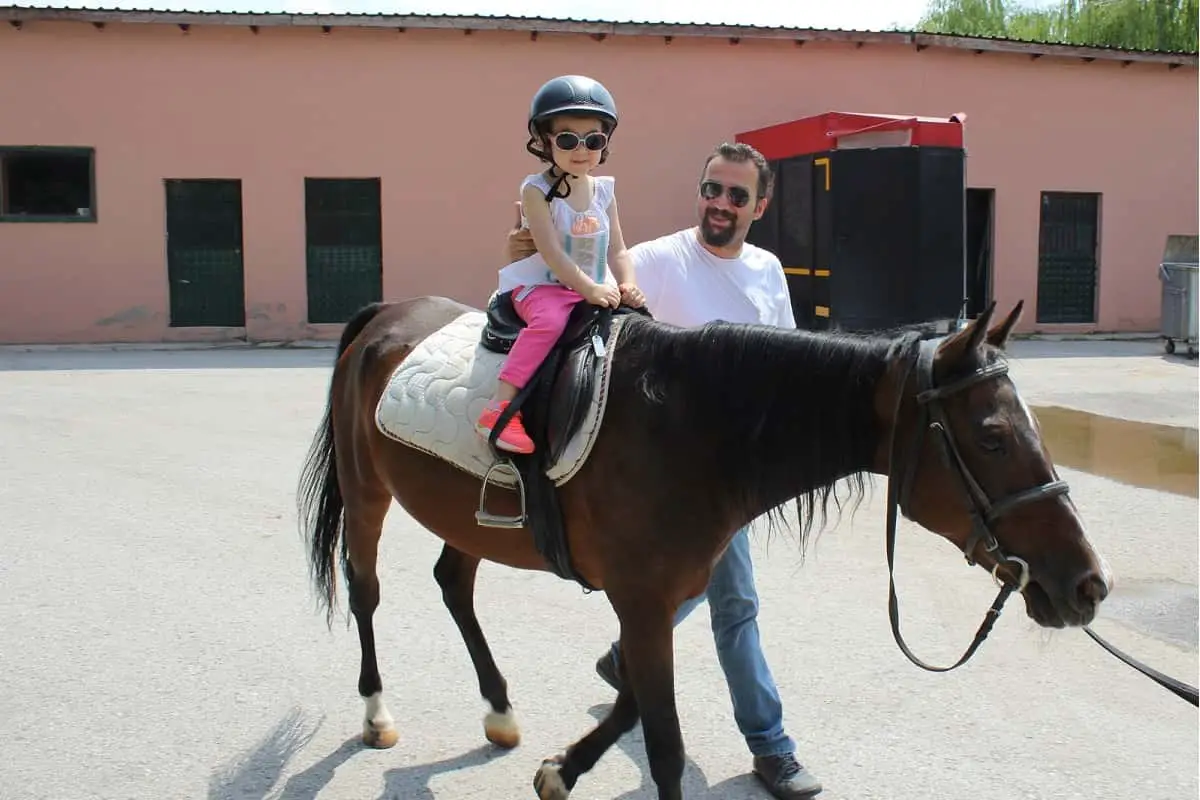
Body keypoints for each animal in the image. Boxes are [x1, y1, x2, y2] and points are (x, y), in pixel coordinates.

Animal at [295, 297, 1108, 800]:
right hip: (367, 493)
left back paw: (499, 711)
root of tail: (385, 316)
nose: (1087, 585)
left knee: (453, 583)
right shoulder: (643, 601)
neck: (688, 429)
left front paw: (562, 769)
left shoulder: (661, 597)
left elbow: (630, 699)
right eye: (993, 437)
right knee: (365, 590)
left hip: (465, 519)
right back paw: (376, 714)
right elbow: (664, 745)